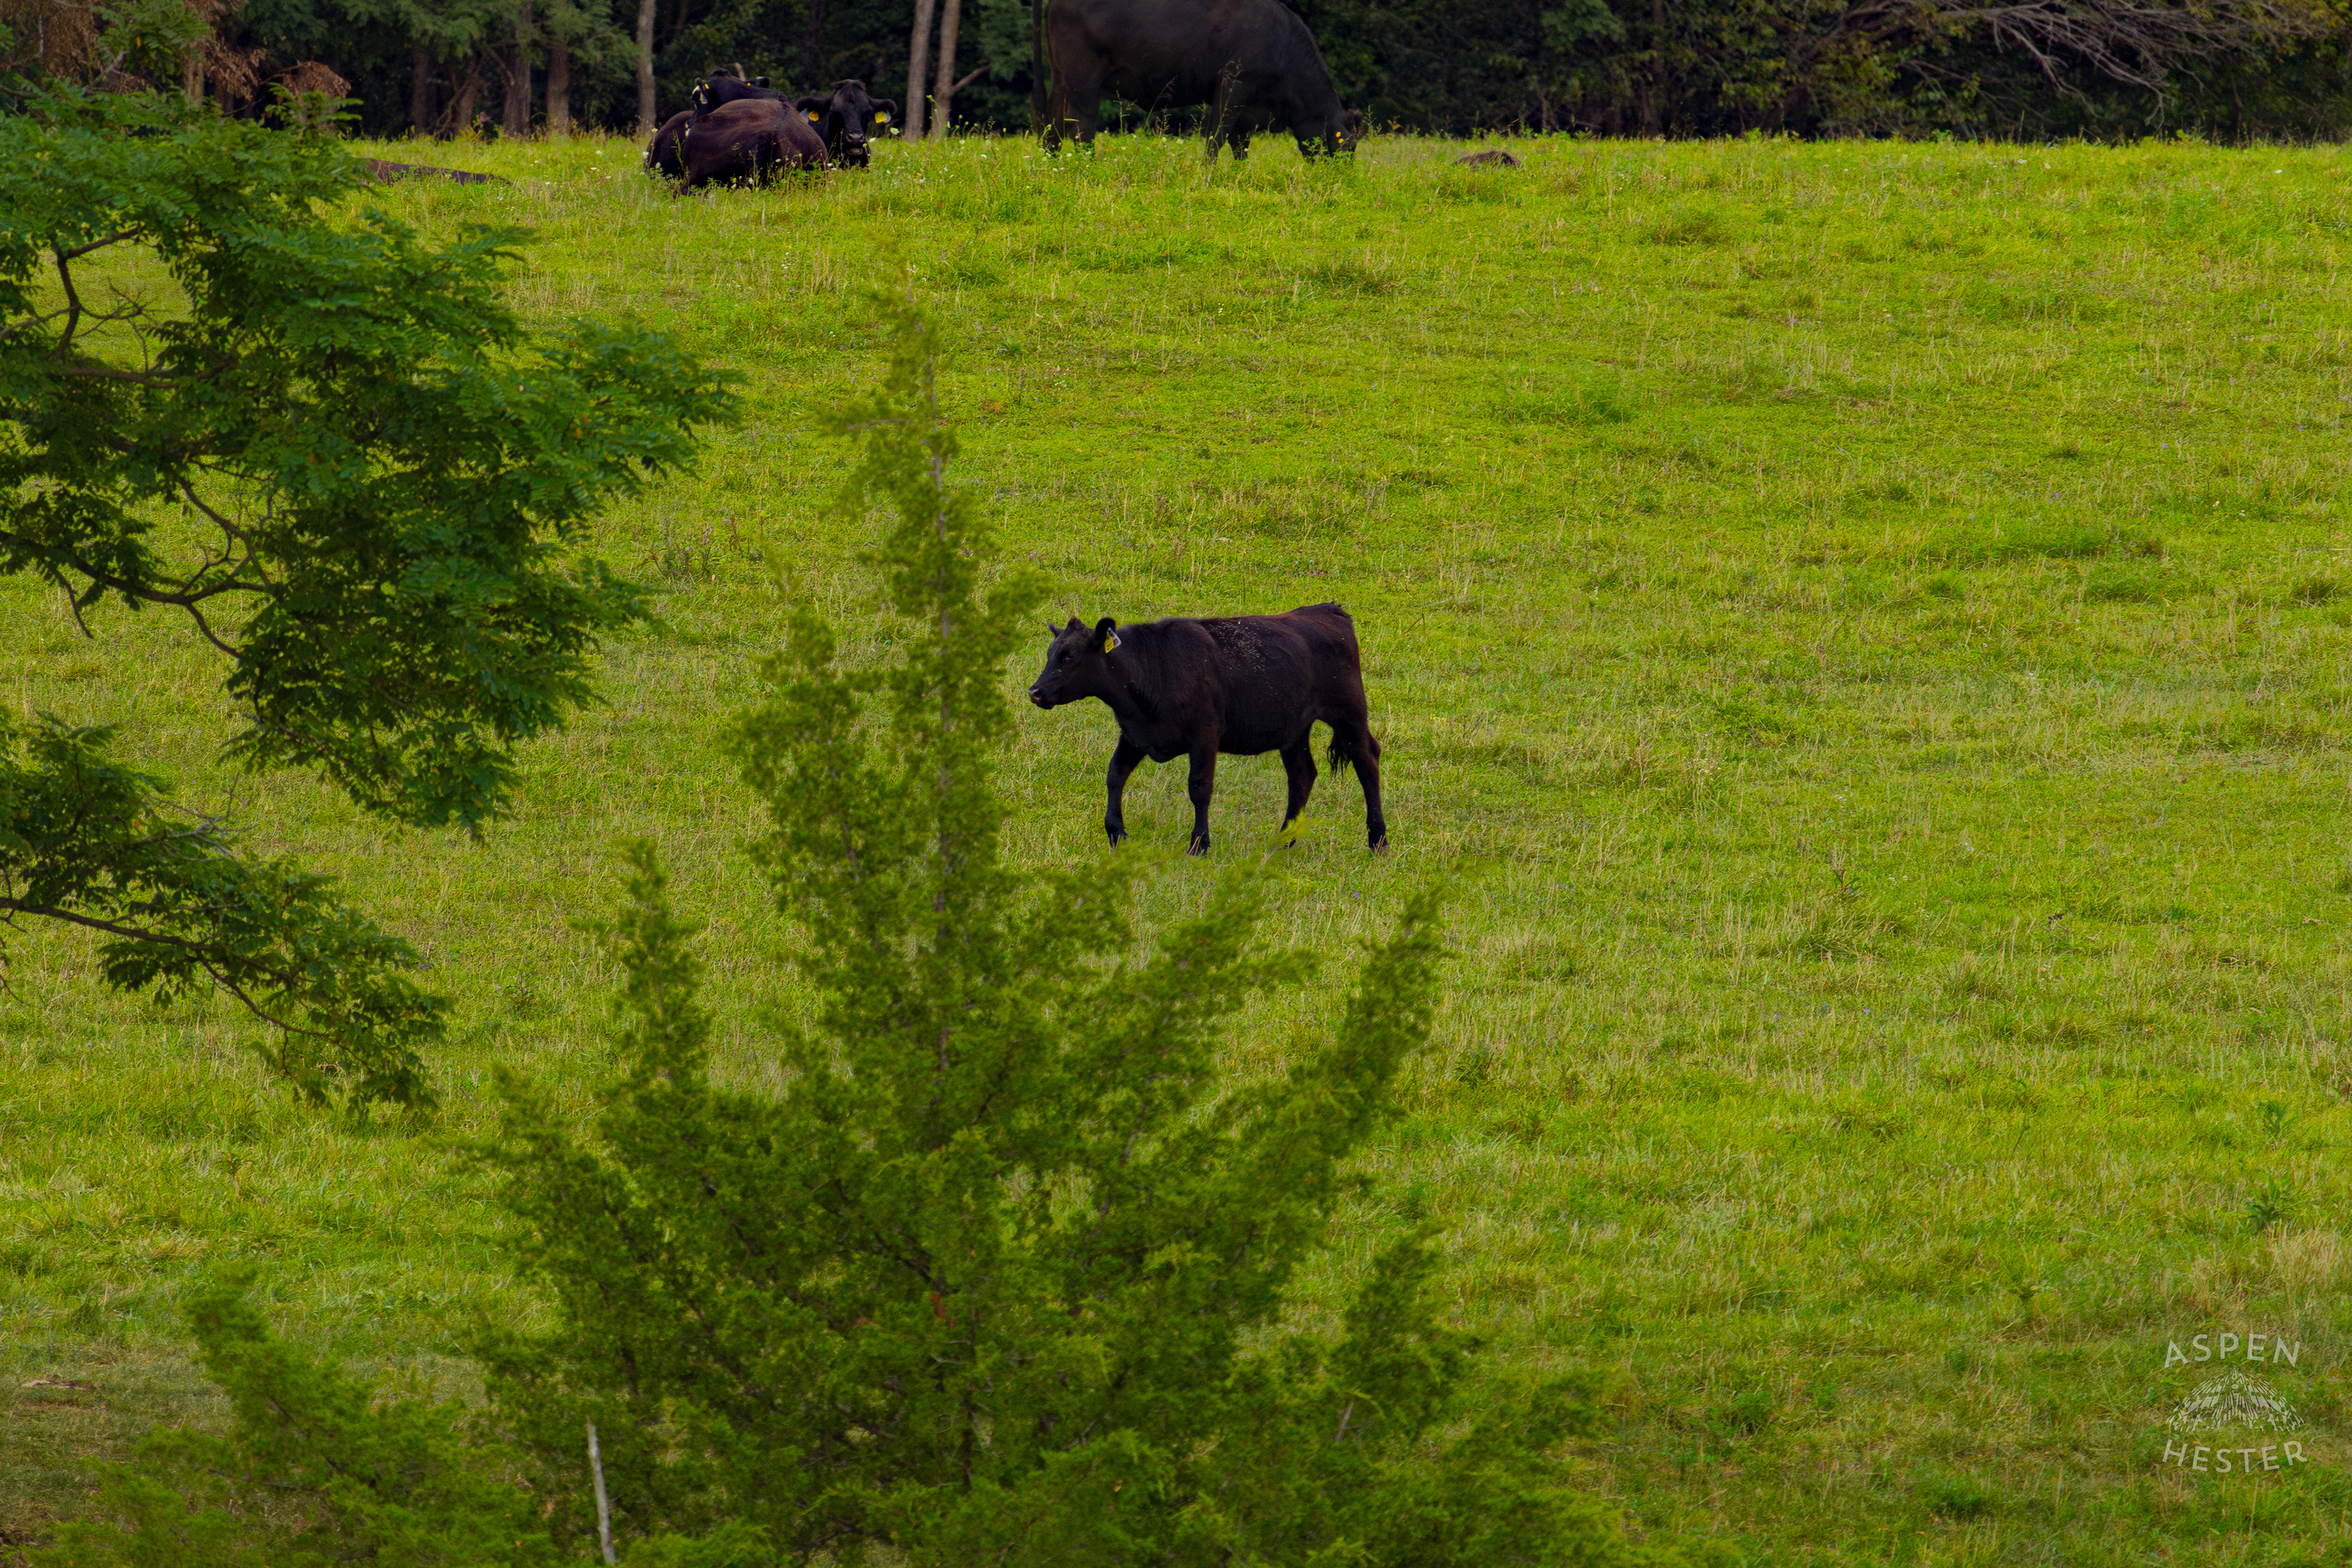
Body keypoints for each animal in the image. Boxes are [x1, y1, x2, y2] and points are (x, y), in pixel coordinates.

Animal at [1027, 603, 1387, 855]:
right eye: (1050, 653)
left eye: (1070, 655)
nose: (1035, 692)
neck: (1153, 668)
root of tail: (1329, 610)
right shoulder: (1135, 734)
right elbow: (1115, 775)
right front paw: (1117, 834)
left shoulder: (1204, 734)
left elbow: (1199, 787)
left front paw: (1199, 844)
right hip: (1294, 729)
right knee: (1302, 775)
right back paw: (1284, 841)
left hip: (1349, 713)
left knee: (1367, 762)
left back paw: (1378, 840)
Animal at [1041, 0, 1356, 161]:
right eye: (1348, 149)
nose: (1339, 184)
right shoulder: (1234, 84)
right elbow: (1217, 136)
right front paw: (1207, 174)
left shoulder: (1247, 105)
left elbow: (1240, 144)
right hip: (1084, 81)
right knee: (1081, 128)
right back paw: (1088, 167)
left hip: (1061, 80)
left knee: (1052, 130)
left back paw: (1051, 169)